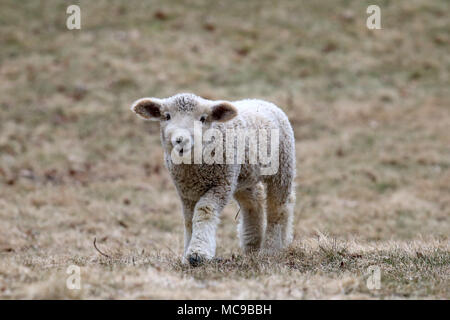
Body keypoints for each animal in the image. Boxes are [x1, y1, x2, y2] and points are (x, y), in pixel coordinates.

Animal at [131, 93, 296, 268]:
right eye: (167, 116)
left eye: (203, 118)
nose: (181, 140)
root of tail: (260, 101)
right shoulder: (186, 191)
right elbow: (189, 219)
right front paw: (187, 254)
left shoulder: (221, 185)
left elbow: (205, 210)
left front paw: (198, 253)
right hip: (242, 176)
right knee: (253, 203)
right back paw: (252, 245)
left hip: (282, 165)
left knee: (278, 207)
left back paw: (271, 249)